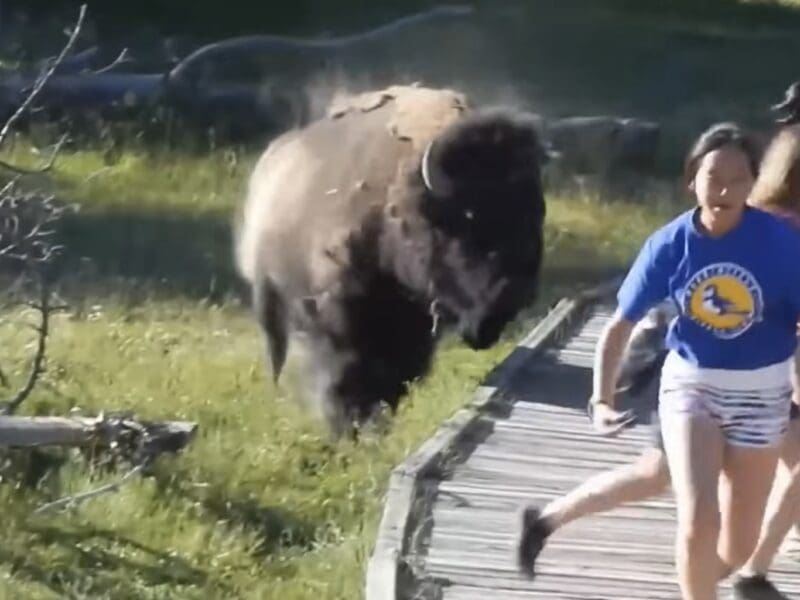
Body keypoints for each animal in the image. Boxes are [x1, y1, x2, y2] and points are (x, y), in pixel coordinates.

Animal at [234, 84, 551, 435]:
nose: (514, 295)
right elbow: (343, 373)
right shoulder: (337, 317)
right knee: (277, 348)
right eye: (467, 216)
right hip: (268, 295)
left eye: (536, 210)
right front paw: (348, 427)